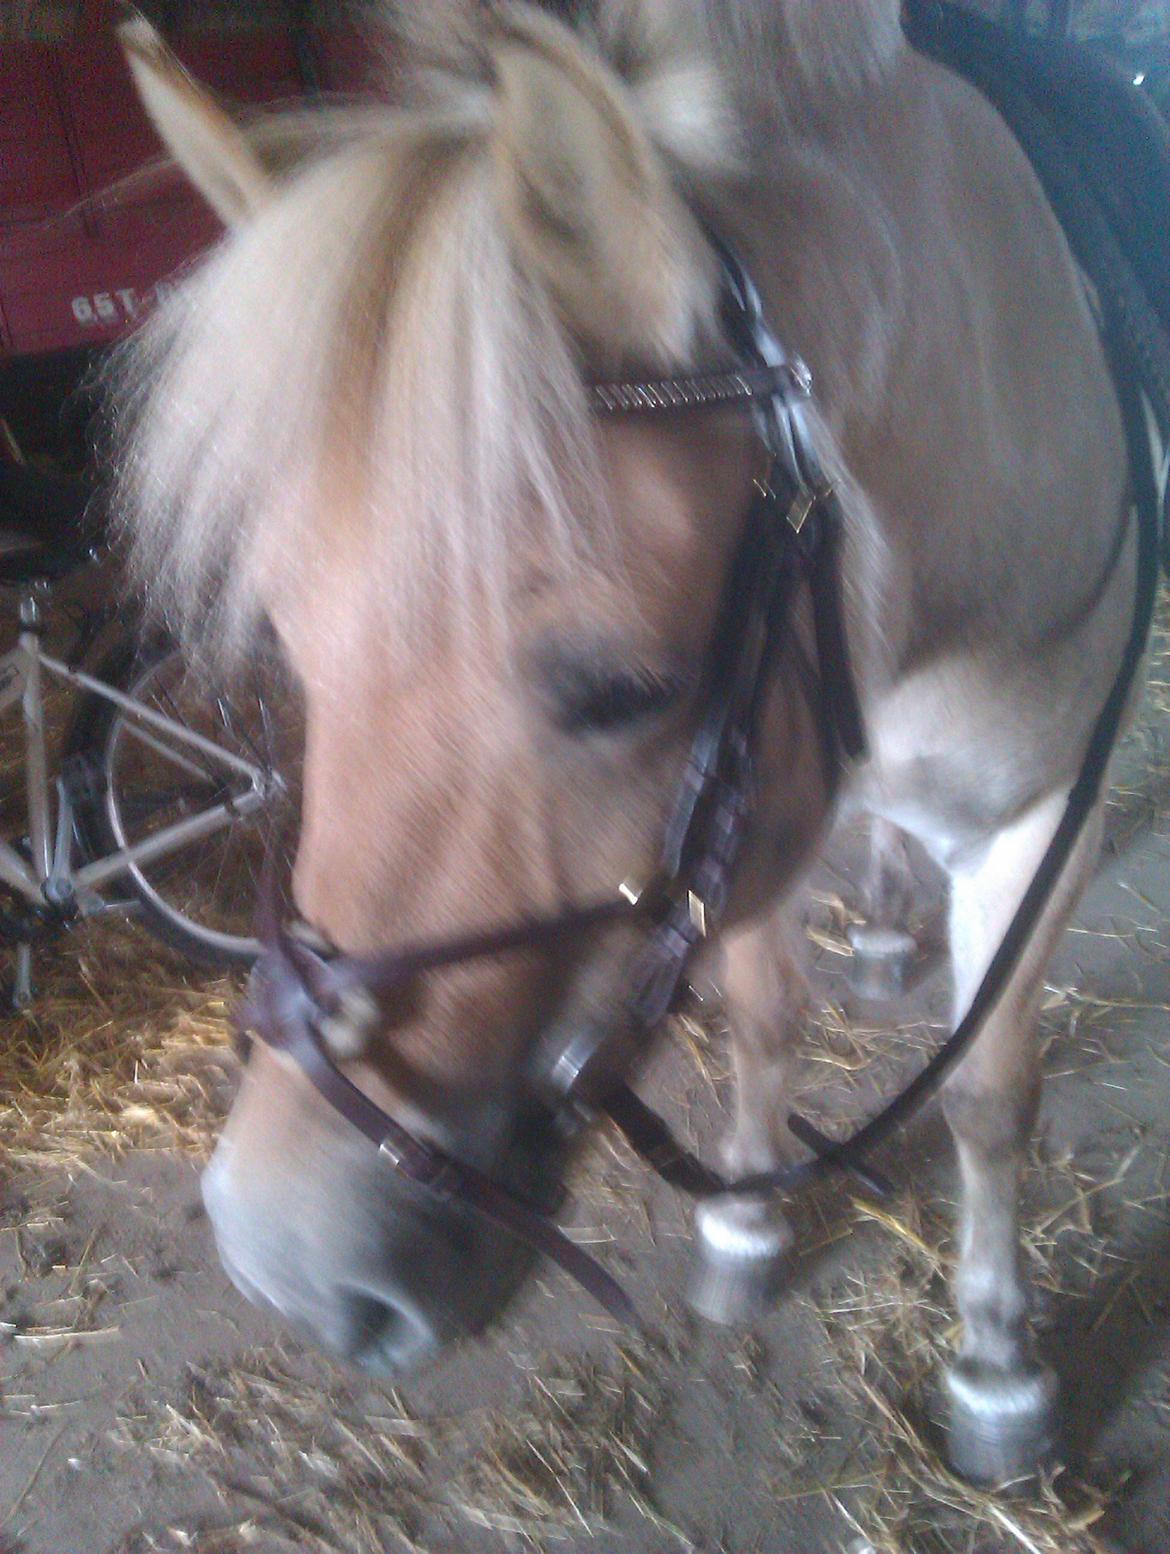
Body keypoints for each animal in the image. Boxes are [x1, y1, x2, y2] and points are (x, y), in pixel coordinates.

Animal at [113, 0, 1154, 1488]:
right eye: (291, 642)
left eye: (617, 687)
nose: (284, 1259)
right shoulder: (756, 827)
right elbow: (767, 1017)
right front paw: (745, 1228)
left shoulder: (1040, 817)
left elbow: (990, 1093)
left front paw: (997, 1360)